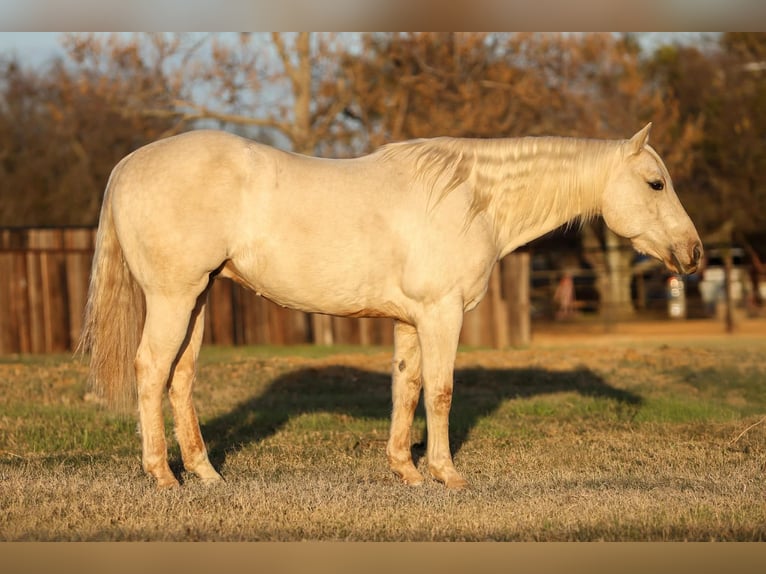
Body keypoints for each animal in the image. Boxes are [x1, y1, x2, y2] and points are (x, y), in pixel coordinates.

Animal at [79, 123, 702, 489]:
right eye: (655, 183)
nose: (693, 252)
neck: (471, 199)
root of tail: (128, 165)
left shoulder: (410, 321)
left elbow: (407, 387)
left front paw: (407, 470)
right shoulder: (441, 313)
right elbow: (442, 391)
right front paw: (447, 475)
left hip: (199, 297)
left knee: (180, 378)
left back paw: (205, 473)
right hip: (173, 297)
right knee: (151, 370)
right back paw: (162, 476)